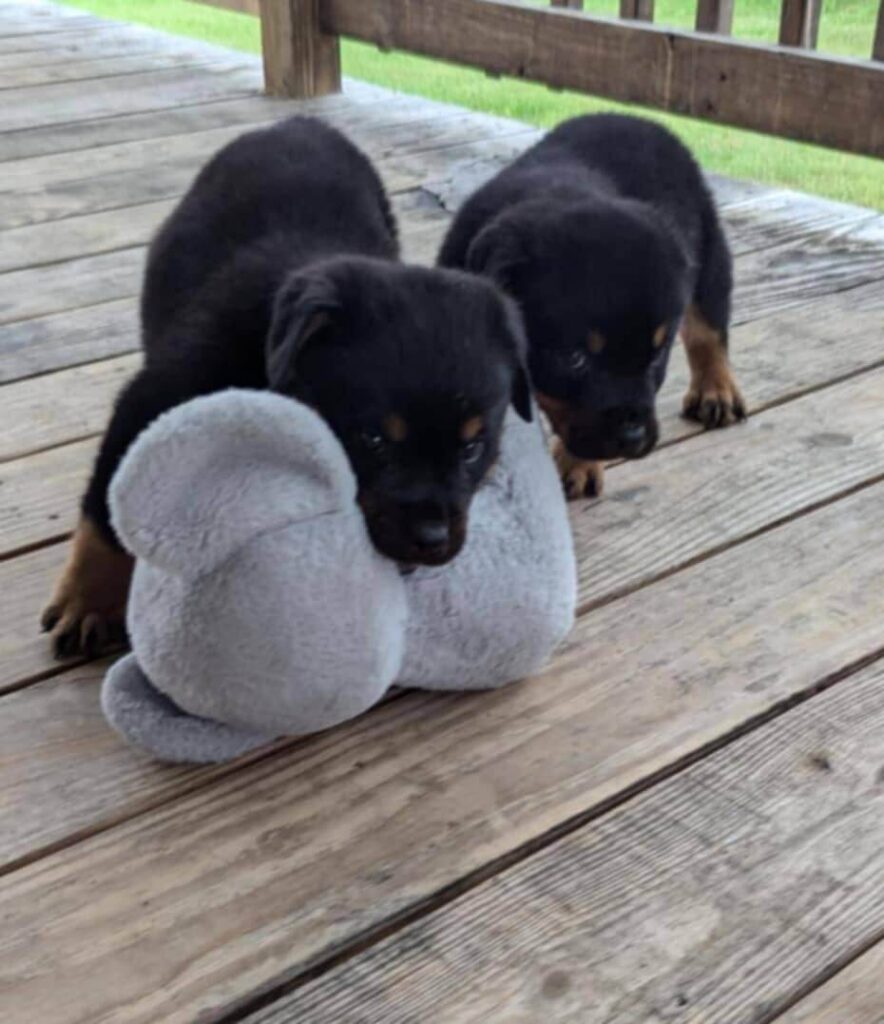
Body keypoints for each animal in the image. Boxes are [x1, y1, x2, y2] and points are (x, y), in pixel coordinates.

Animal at [43, 114, 532, 655]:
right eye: (373, 440)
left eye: (473, 448)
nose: (431, 539)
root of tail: (299, 120)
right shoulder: (151, 397)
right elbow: (103, 506)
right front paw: (88, 602)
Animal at [438, 114, 741, 497]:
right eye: (574, 359)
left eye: (657, 356)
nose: (634, 436)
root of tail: (641, 120)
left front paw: (575, 465)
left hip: (707, 251)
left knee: (709, 329)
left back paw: (715, 390)